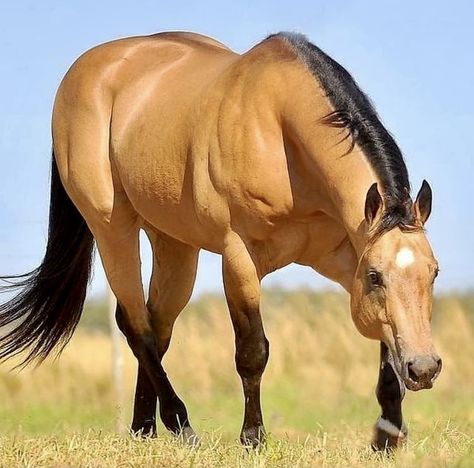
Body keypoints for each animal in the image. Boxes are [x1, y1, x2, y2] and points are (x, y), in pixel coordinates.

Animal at [0, 32, 440, 450]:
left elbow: (385, 342)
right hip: (112, 229)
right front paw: (252, 438)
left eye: (433, 273)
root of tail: (86, 69)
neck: (279, 133)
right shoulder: (239, 259)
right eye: (376, 277)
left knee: (157, 328)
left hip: (174, 244)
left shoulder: (346, 257)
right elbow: (252, 351)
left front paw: (387, 435)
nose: (424, 369)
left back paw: (144, 429)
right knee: (136, 325)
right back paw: (181, 426)